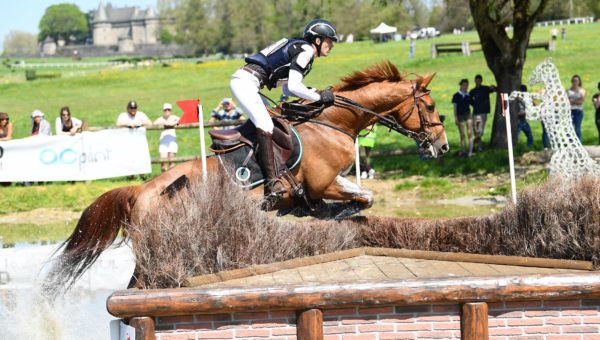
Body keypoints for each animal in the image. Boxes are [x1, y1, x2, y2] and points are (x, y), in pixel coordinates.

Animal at [42, 61, 448, 298]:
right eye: (430, 107)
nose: (442, 146)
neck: (332, 122)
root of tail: (139, 191)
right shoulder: (323, 181)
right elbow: (360, 198)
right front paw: (337, 212)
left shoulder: (330, 183)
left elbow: (364, 195)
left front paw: (326, 212)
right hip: (160, 250)